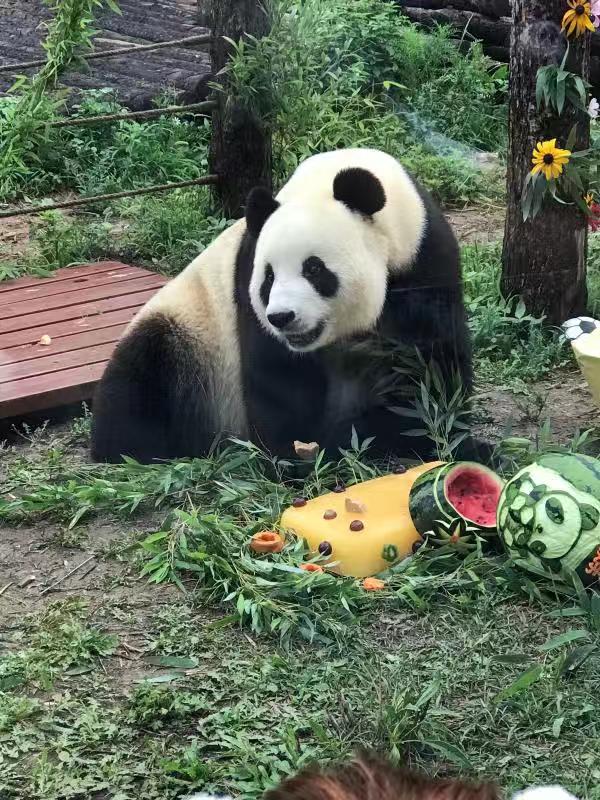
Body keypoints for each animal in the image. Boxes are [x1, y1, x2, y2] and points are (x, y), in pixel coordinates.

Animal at [91, 147, 476, 466]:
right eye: (268, 277)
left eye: (314, 268)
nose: (282, 317)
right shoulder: (246, 277)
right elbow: (276, 374)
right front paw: (295, 455)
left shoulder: (423, 259)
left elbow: (431, 359)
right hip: (190, 334)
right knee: (142, 377)